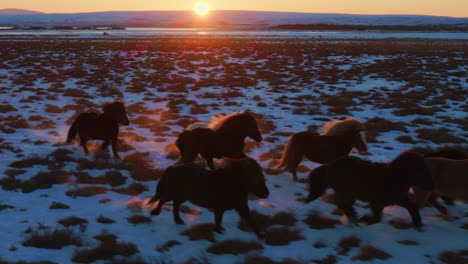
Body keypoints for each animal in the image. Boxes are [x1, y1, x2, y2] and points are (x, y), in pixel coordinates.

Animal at [306, 151, 434, 229]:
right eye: (420, 169)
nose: (431, 186)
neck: (394, 177)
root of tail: (329, 166)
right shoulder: (377, 202)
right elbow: (376, 218)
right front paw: (365, 219)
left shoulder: (399, 199)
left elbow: (412, 207)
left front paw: (418, 223)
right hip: (345, 191)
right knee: (341, 203)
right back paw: (354, 217)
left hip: (348, 193)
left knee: (342, 204)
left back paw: (353, 216)